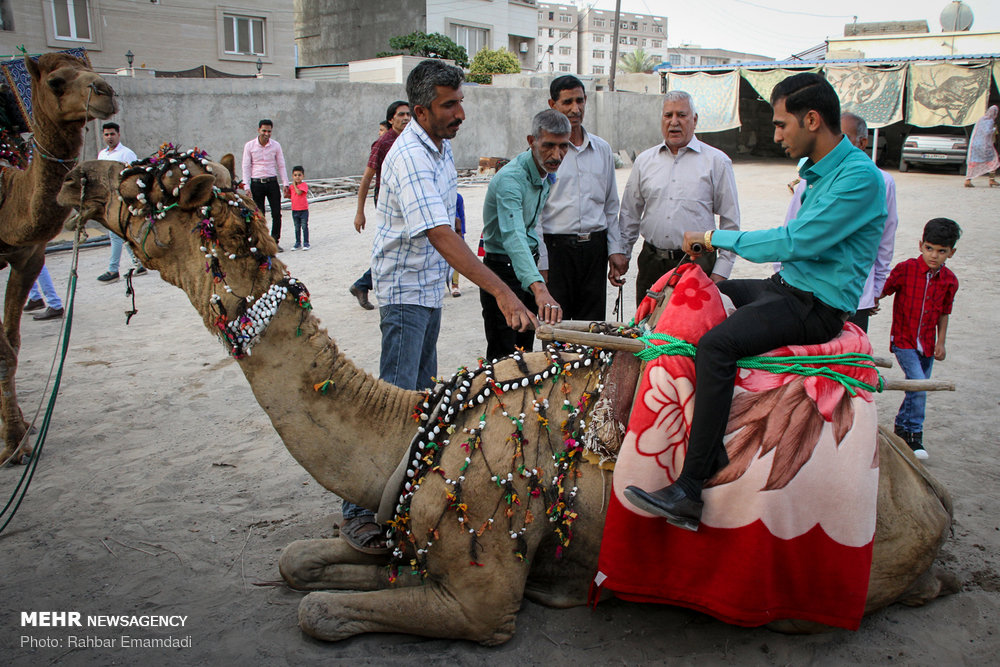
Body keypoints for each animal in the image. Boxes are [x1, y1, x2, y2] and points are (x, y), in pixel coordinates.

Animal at [0, 53, 116, 464]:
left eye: (90, 67)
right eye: (55, 82)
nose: (105, 90)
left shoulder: (28, 256)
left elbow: (11, 345)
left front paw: (18, 436)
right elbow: (5, 350)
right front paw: (15, 442)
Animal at [58, 153, 956, 648]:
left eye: (148, 183)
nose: (74, 174)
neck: (410, 429)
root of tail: (929, 492)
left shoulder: (481, 593)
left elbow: (319, 608)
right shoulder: (411, 525)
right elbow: (299, 562)